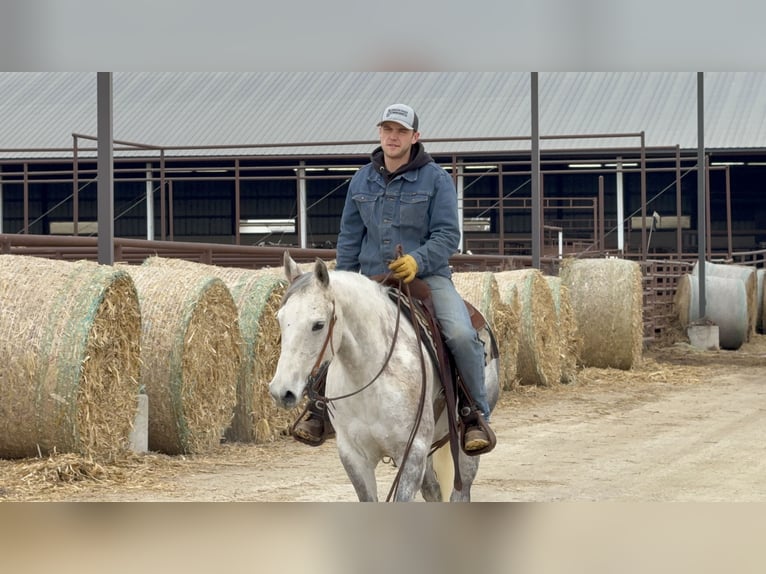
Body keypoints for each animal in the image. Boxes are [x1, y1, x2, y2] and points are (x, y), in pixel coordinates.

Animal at [268, 252, 500, 502]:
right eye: (279, 319)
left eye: (318, 325)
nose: (281, 391)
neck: (367, 376)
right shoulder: (354, 457)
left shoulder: (413, 453)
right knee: (433, 490)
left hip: (463, 447)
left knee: (461, 488)